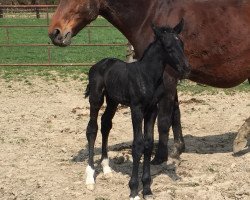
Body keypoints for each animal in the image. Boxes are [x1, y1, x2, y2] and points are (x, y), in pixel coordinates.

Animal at [47, 0, 250, 166]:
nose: (54, 32)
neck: (150, 13)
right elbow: (175, 115)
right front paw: (177, 149)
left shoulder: (168, 78)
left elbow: (164, 120)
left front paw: (160, 157)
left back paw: (240, 139)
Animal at [85, 19, 188, 200]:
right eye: (168, 47)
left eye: (181, 44)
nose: (186, 68)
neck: (147, 76)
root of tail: (98, 64)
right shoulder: (137, 109)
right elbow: (138, 145)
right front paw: (133, 190)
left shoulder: (152, 110)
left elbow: (148, 144)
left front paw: (147, 189)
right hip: (96, 98)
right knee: (92, 128)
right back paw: (90, 177)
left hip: (112, 100)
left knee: (106, 124)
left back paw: (106, 168)